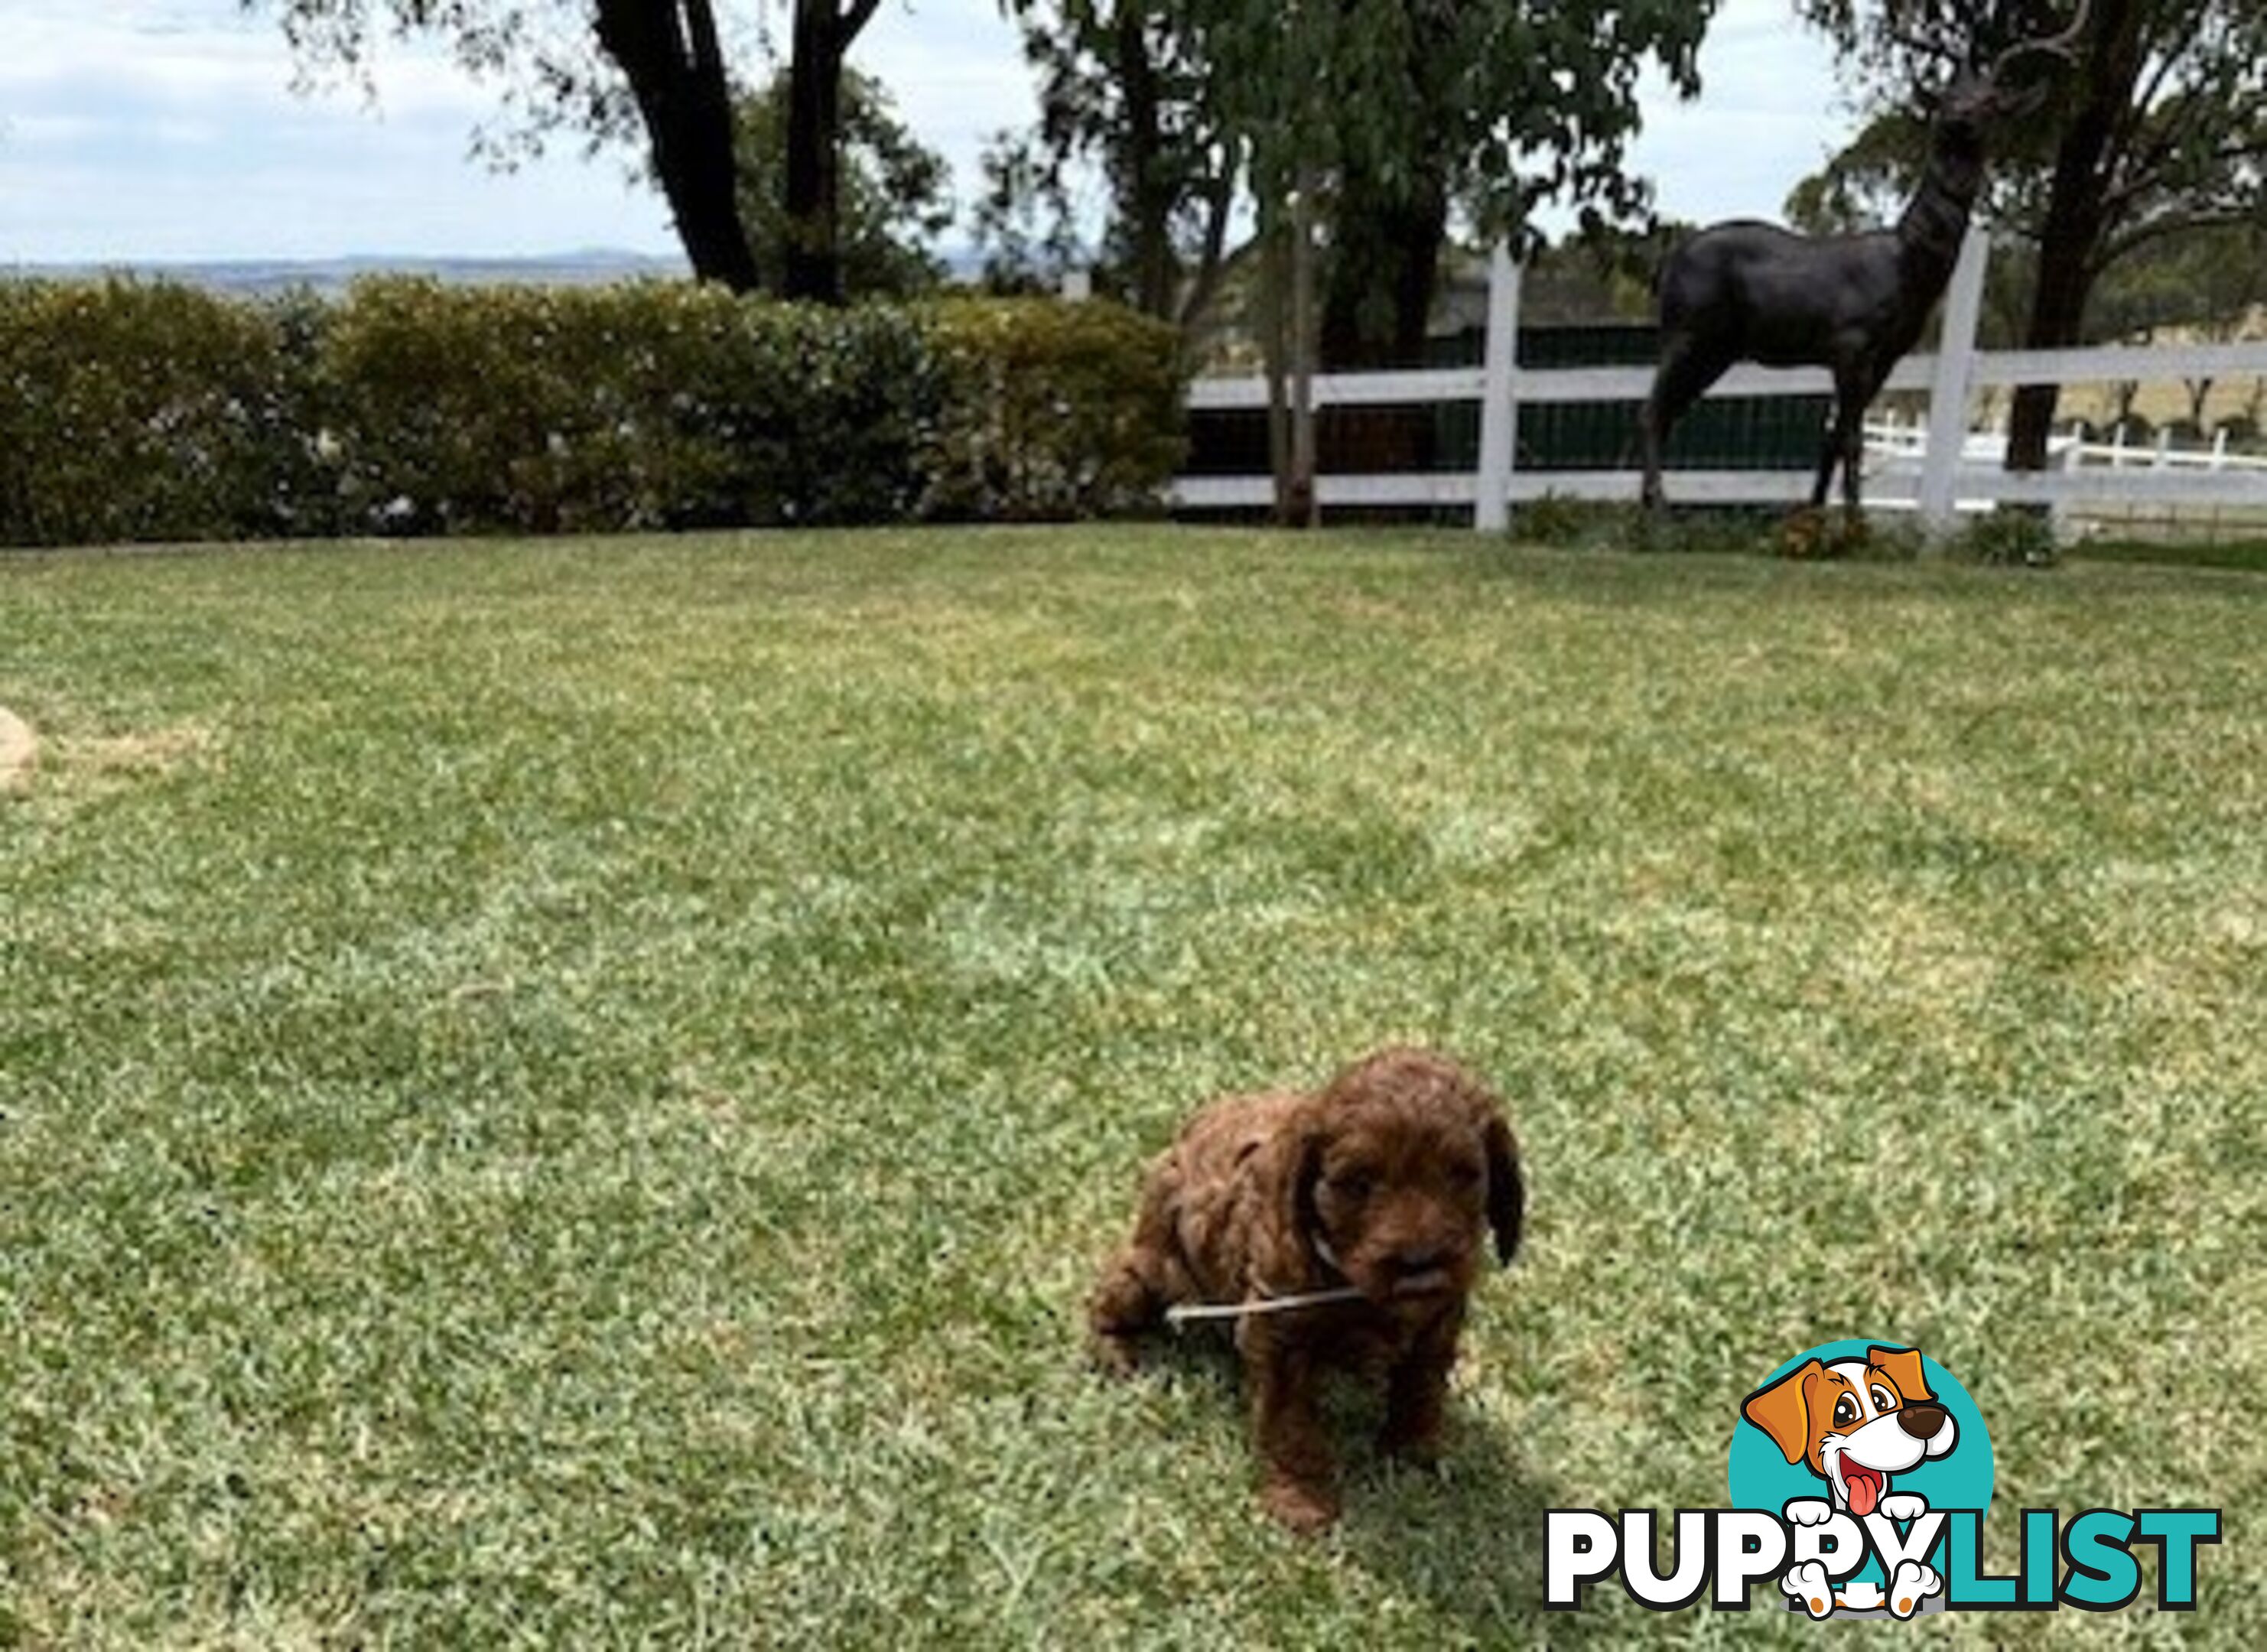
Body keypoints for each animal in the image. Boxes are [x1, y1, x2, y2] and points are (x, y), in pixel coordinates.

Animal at [1083, 1051, 1523, 1523]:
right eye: (1358, 1182)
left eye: (1464, 1175)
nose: (1420, 1266)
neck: (1353, 1285)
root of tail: (1191, 1128)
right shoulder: (1278, 1331)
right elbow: (1290, 1424)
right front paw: (1301, 1500)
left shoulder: (1439, 1318)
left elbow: (1421, 1385)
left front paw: (1413, 1455)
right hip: (1157, 1266)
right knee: (1112, 1295)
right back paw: (1114, 1352)